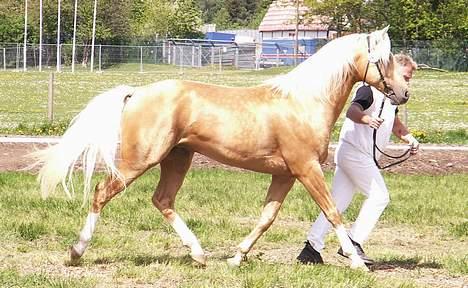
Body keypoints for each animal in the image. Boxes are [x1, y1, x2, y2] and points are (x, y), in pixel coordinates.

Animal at [34, 27, 410, 270]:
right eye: (384, 58)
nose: (403, 94)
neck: (304, 103)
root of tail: (136, 92)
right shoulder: (306, 169)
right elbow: (333, 213)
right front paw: (359, 263)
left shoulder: (286, 175)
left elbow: (267, 218)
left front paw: (235, 258)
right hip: (140, 159)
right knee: (102, 192)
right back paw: (76, 252)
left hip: (177, 158)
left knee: (163, 200)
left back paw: (199, 254)